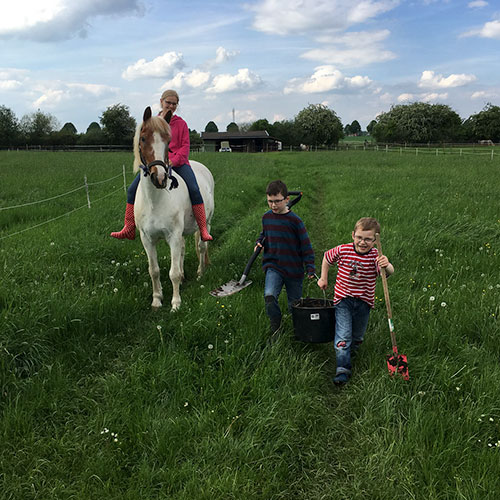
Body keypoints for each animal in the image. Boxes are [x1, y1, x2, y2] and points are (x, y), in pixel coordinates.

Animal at [132, 107, 214, 310]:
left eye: (168, 141)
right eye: (143, 138)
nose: (160, 178)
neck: (155, 201)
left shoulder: (173, 236)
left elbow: (173, 272)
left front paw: (176, 304)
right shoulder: (147, 239)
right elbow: (154, 270)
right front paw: (156, 300)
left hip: (206, 223)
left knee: (202, 246)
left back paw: (200, 273)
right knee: (184, 249)